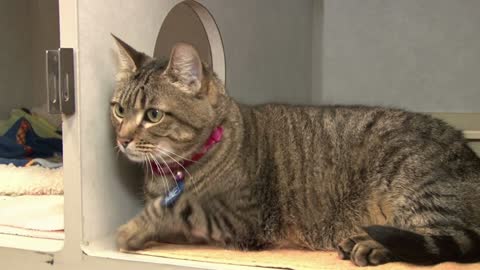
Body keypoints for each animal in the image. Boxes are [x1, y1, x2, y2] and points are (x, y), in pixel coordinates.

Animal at [109, 35, 480, 266]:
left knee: (436, 240)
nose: (122, 139)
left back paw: (371, 243)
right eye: (119, 110)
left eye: (153, 115)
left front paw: (134, 228)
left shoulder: (243, 219)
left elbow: (179, 209)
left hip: (415, 186)